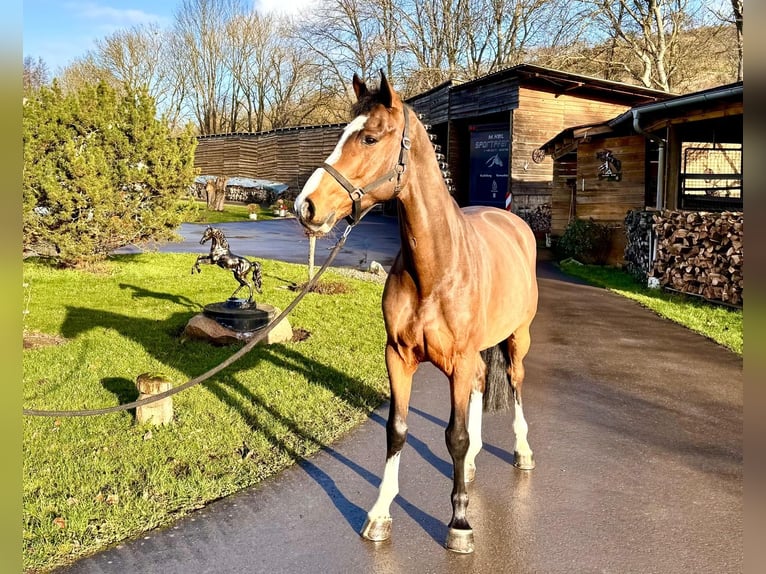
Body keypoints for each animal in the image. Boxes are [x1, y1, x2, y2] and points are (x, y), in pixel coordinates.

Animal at [294, 71, 540, 552]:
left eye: (370, 137)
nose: (306, 206)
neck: (437, 268)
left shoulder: (458, 361)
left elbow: (455, 435)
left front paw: (459, 523)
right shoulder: (398, 356)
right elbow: (397, 430)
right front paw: (379, 514)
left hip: (517, 338)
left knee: (516, 382)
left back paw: (521, 452)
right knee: (483, 383)